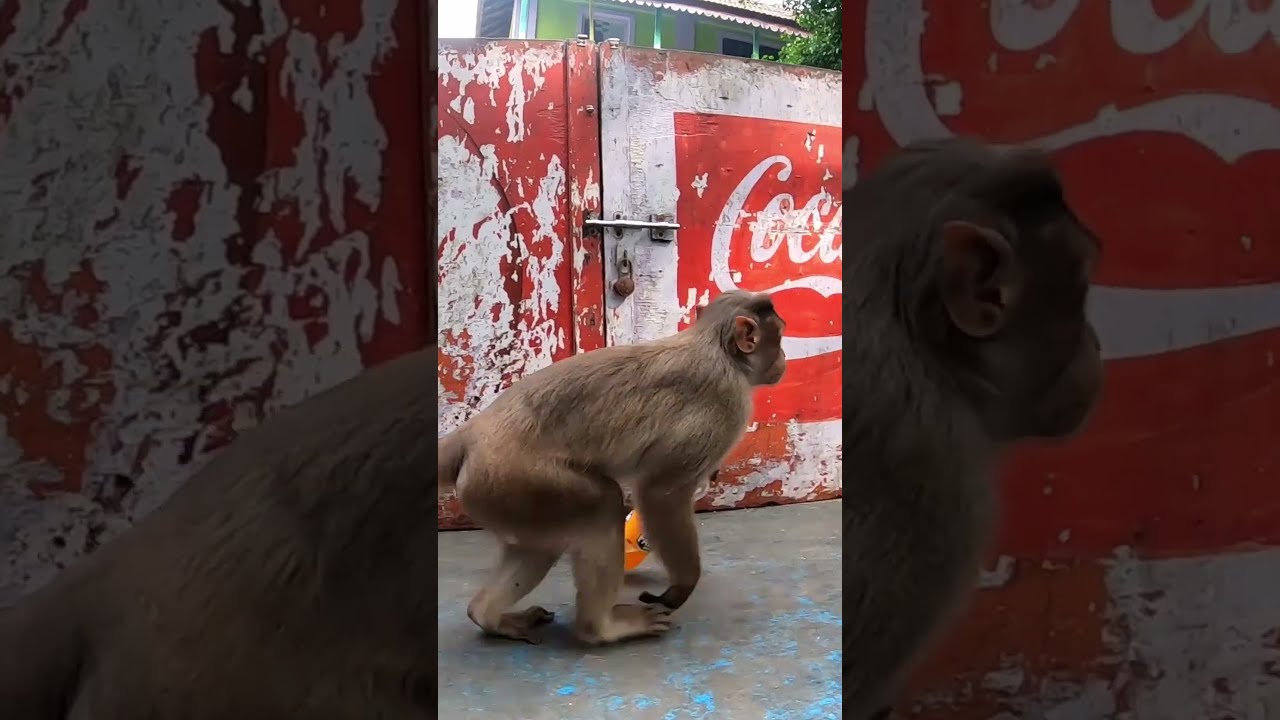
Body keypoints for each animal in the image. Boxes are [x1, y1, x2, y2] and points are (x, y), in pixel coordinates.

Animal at [437, 290, 786, 645]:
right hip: (514, 478)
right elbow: (661, 492)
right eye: (778, 338)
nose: (784, 359)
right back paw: (600, 628)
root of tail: (472, 434)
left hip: (504, 494)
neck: (716, 347)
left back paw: (487, 615)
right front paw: (682, 586)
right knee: (601, 506)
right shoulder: (724, 410)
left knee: (541, 544)